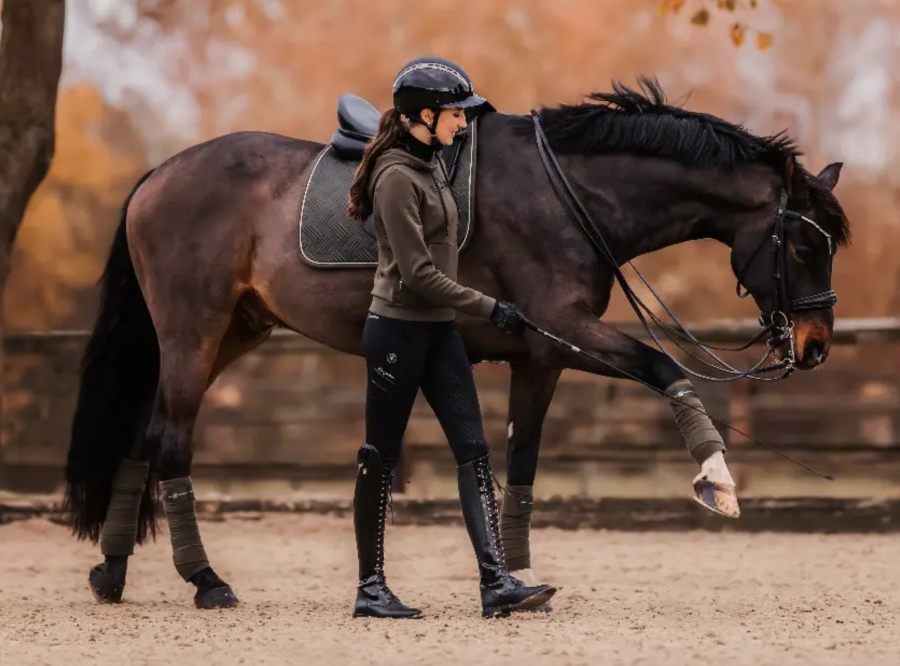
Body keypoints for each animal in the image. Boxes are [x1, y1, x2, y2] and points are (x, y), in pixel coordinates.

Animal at [63, 78, 852, 608]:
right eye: (803, 244)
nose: (815, 346)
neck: (570, 193)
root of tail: (160, 174)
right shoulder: (566, 331)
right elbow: (665, 368)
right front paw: (716, 482)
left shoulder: (542, 355)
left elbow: (518, 462)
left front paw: (515, 571)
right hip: (193, 332)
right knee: (171, 441)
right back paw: (206, 581)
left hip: (233, 331)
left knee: (144, 435)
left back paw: (113, 574)